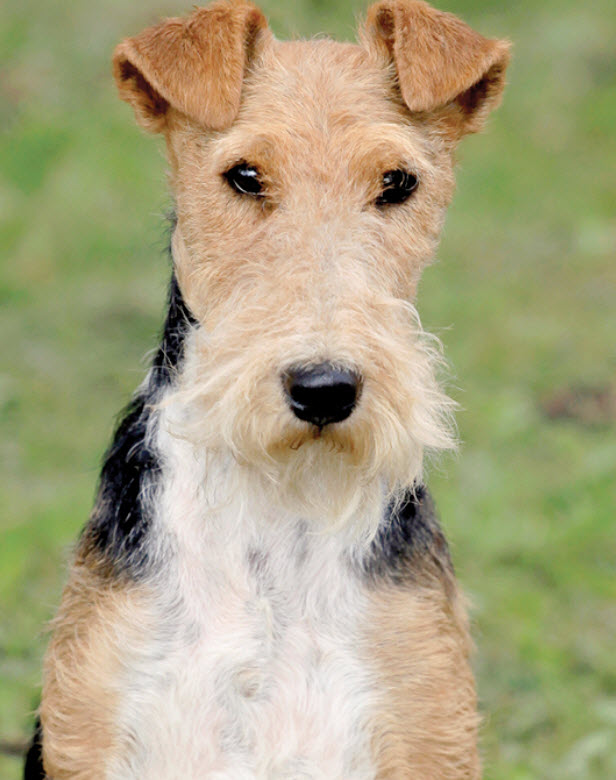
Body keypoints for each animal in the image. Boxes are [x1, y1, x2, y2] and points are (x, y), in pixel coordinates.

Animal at [24, 3, 508, 776]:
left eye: (398, 182)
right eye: (244, 175)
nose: (324, 388)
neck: (284, 493)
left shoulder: (430, 729)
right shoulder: (87, 724)